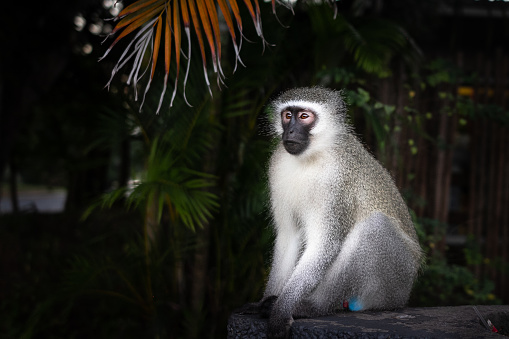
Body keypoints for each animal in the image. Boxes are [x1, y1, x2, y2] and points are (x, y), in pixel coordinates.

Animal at [240, 87, 422, 339]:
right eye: (288, 115)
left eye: (304, 116)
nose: (290, 130)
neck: (311, 156)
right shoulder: (277, 165)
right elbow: (288, 236)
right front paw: (264, 302)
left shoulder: (336, 179)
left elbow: (324, 244)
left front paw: (281, 310)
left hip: (395, 284)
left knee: (375, 226)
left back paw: (315, 306)